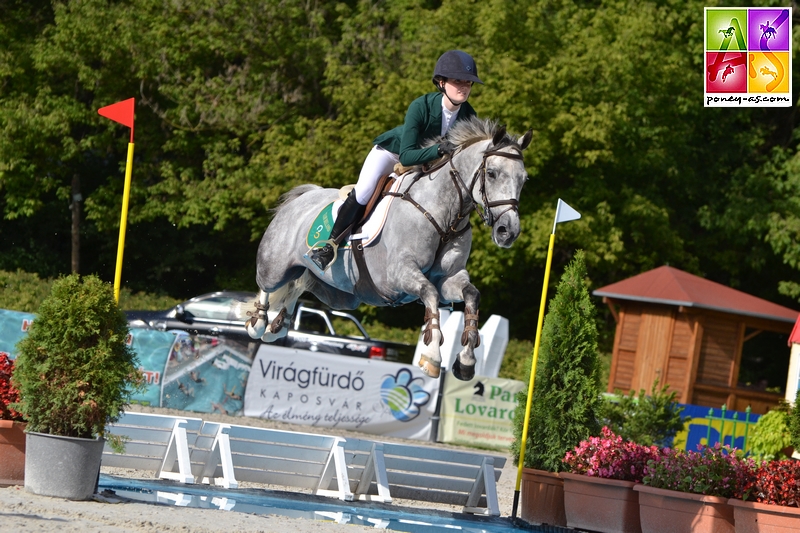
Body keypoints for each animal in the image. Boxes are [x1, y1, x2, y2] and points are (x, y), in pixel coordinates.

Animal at [244, 118, 532, 380]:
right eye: (492, 173)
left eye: (524, 179)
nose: (508, 232)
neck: (444, 215)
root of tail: (303, 196)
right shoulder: (397, 275)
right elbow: (429, 294)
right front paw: (432, 356)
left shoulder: (450, 277)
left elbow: (471, 295)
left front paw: (466, 362)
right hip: (276, 265)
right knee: (268, 284)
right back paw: (258, 323)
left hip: (340, 294)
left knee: (301, 284)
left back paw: (279, 325)